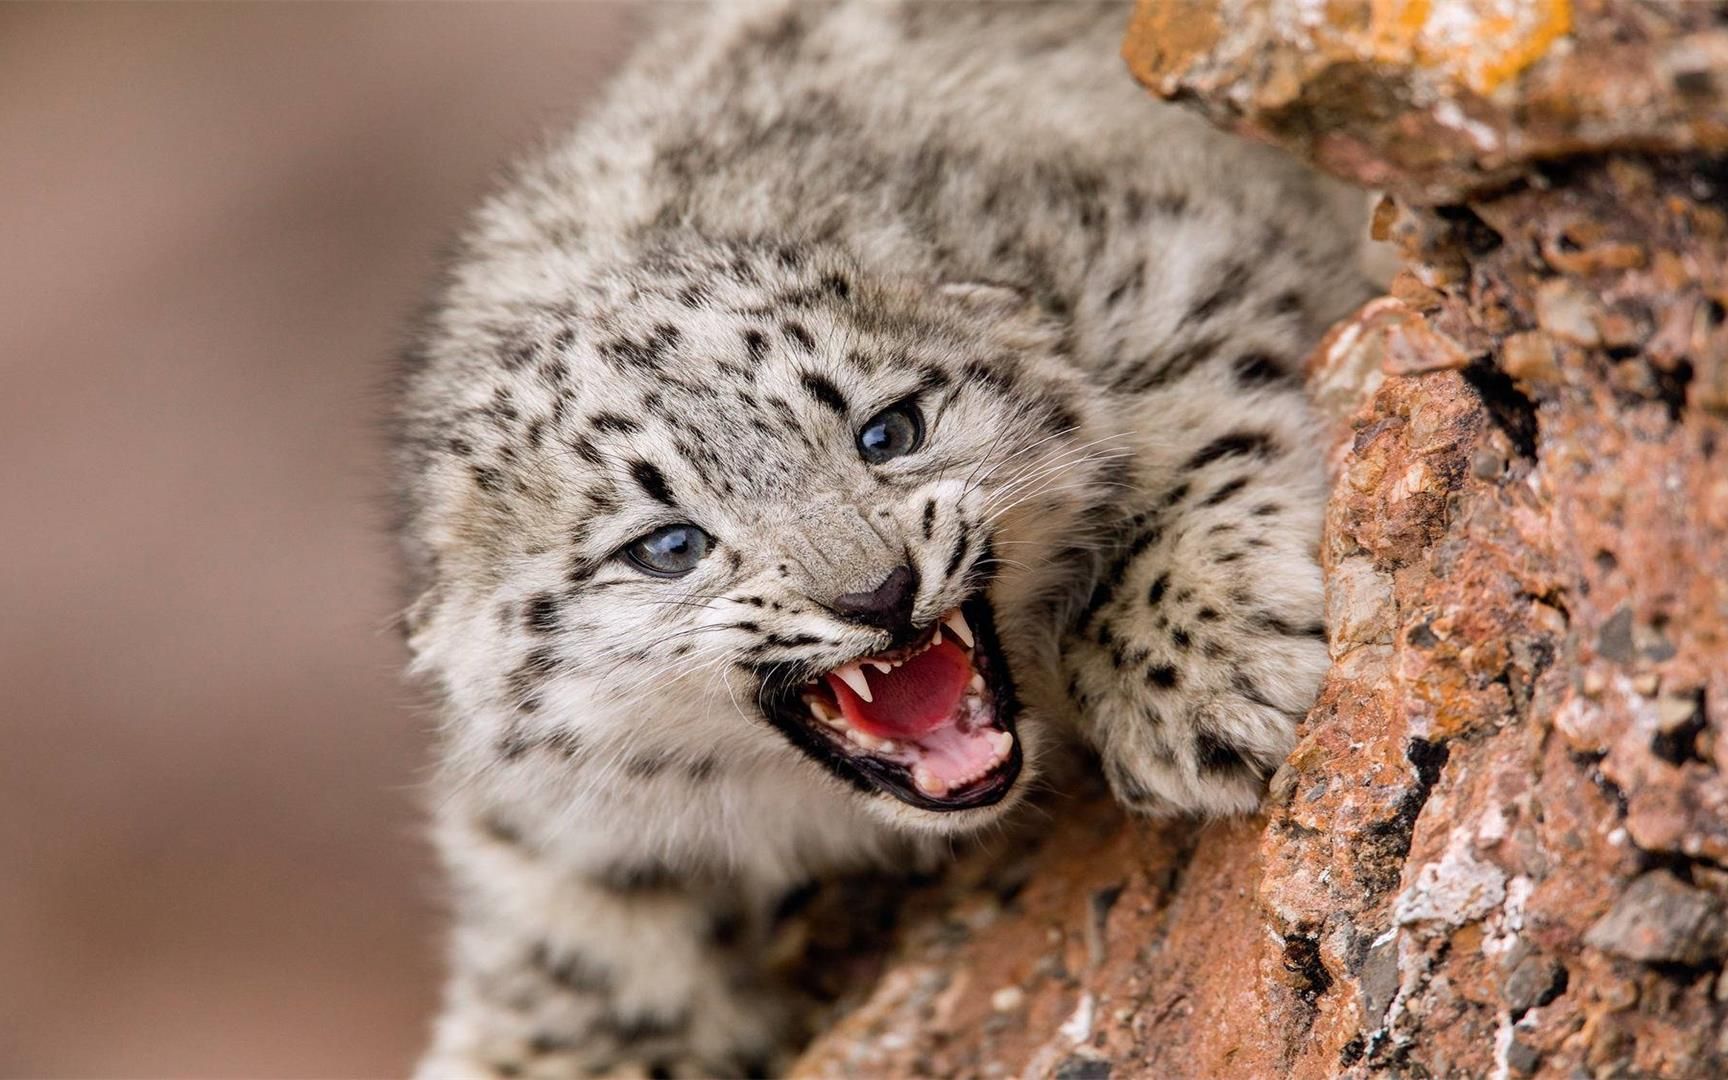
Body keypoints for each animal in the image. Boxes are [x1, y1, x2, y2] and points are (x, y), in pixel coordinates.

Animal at [395, 4, 1375, 1071]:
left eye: (889, 431)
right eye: (668, 546)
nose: (878, 592)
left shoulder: (1177, 264)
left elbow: (1189, 406)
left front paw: (1201, 685)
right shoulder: (566, 838)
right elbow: (574, 944)